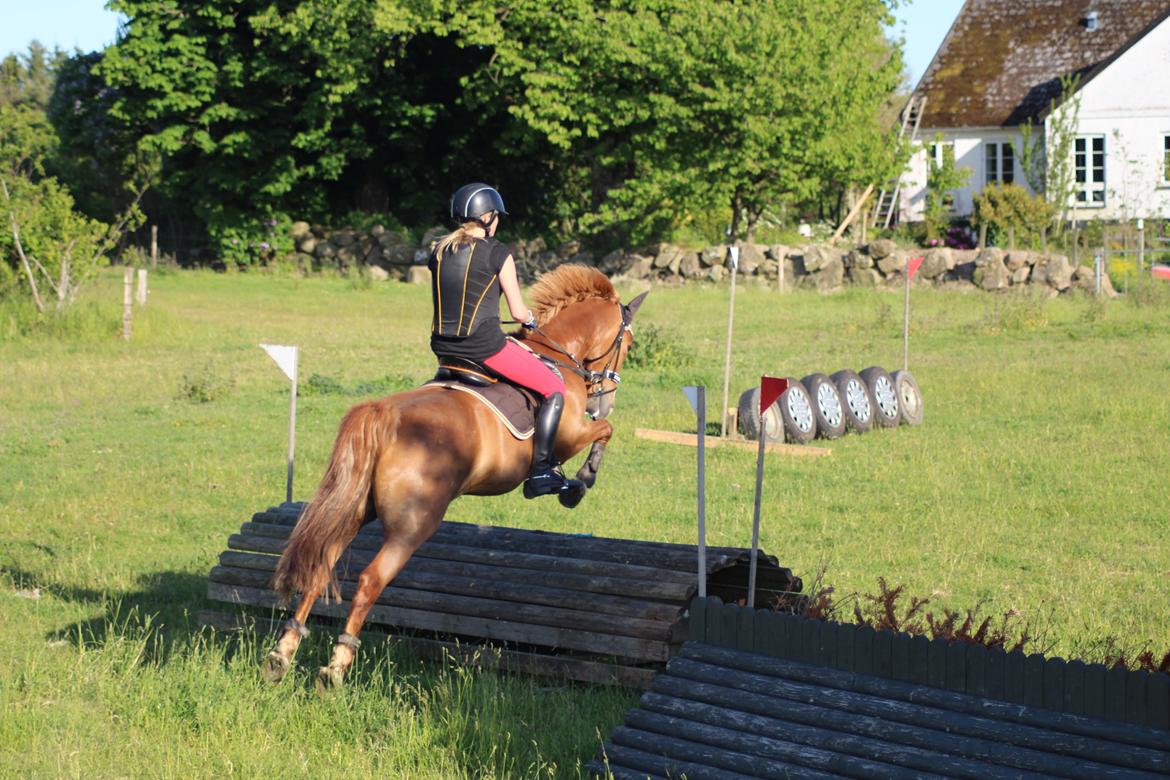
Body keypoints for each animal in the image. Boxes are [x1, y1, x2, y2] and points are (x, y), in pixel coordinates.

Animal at [262, 264, 648, 689]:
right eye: (628, 344)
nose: (603, 401)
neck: (559, 354)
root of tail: (383, 414)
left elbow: (604, 431)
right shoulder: (570, 434)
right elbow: (605, 432)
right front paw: (578, 484)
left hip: (357, 508)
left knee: (321, 565)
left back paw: (282, 653)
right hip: (414, 525)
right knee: (369, 581)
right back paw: (336, 668)